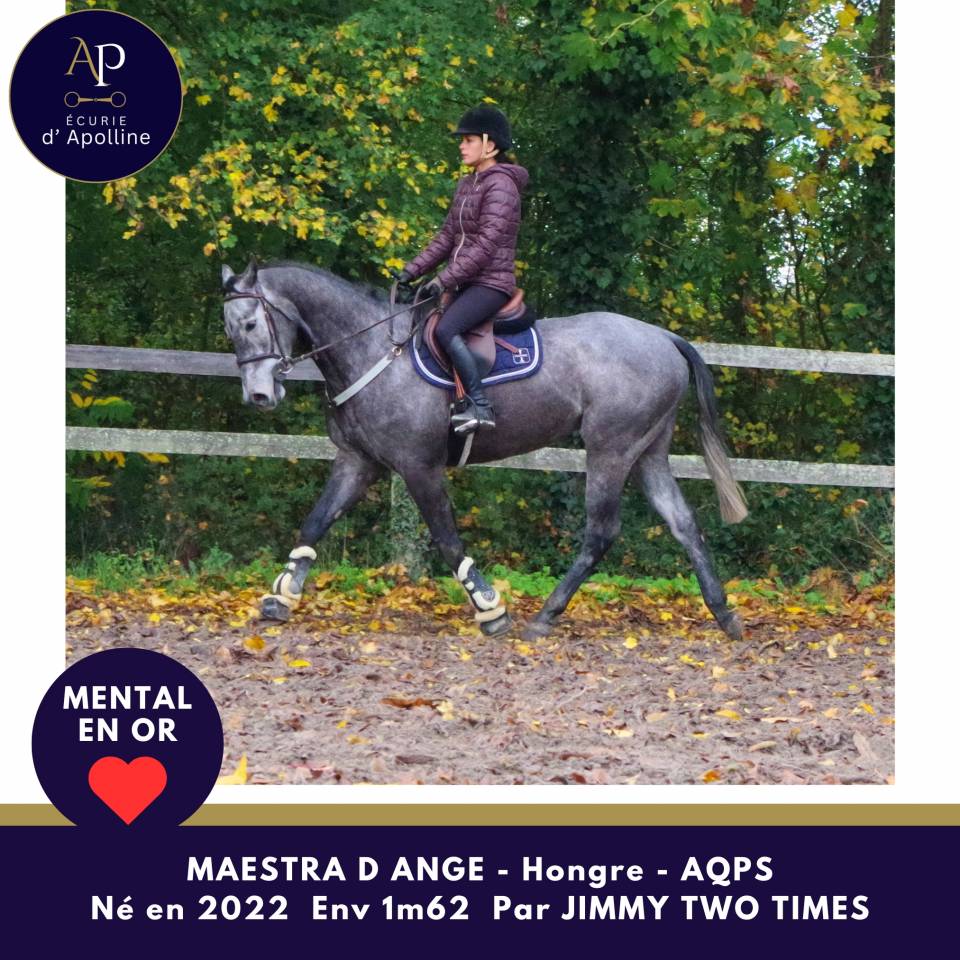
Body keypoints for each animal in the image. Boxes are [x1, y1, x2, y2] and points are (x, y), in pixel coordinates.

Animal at [220, 258, 749, 642]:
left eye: (249, 324)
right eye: (229, 329)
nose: (259, 396)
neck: (374, 351)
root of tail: (663, 337)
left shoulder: (418, 466)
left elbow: (447, 539)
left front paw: (489, 608)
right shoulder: (359, 462)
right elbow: (315, 522)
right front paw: (282, 596)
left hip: (610, 450)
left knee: (601, 532)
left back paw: (545, 616)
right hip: (646, 453)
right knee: (684, 525)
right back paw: (724, 614)